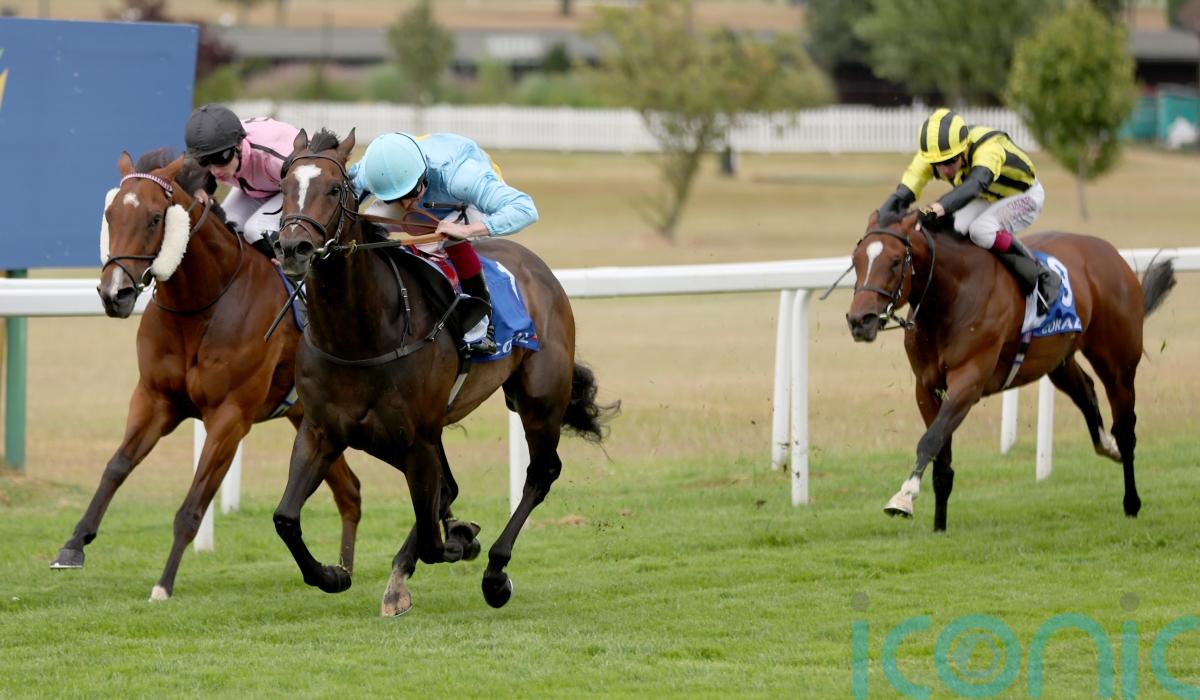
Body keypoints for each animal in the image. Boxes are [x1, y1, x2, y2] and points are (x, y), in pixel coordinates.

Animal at [49, 149, 363, 601]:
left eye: (155, 218)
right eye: (110, 214)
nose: (114, 294)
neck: (201, 305)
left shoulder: (229, 417)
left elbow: (193, 504)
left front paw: (163, 584)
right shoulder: (154, 399)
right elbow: (116, 466)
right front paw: (73, 545)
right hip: (308, 416)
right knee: (351, 492)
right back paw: (342, 571)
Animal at [272, 127, 617, 615]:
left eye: (336, 189)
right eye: (283, 185)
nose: (292, 247)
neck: (358, 336)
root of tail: (538, 268)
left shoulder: (414, 436)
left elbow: (436, 540)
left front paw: (461, 541)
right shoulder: (325, 430)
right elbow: (285, 517)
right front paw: (333, 574)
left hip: (539, 400)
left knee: (540, 473)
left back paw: (494, 572)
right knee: (451, 487)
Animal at [844, 210, 1176, 531]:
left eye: (895, 261)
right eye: (855, 260)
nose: (859, 320)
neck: (951, 295)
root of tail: (1113, 255)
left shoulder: (969, 381)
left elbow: (930, 439)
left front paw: (904, 496)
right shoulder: (926, 387)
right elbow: (942, 456)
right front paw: (939, 527)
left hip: (1118, 362)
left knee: (1126, 427)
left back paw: (1131, 502)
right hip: (1059, 360)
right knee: (1087, 393)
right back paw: (1109, 447)